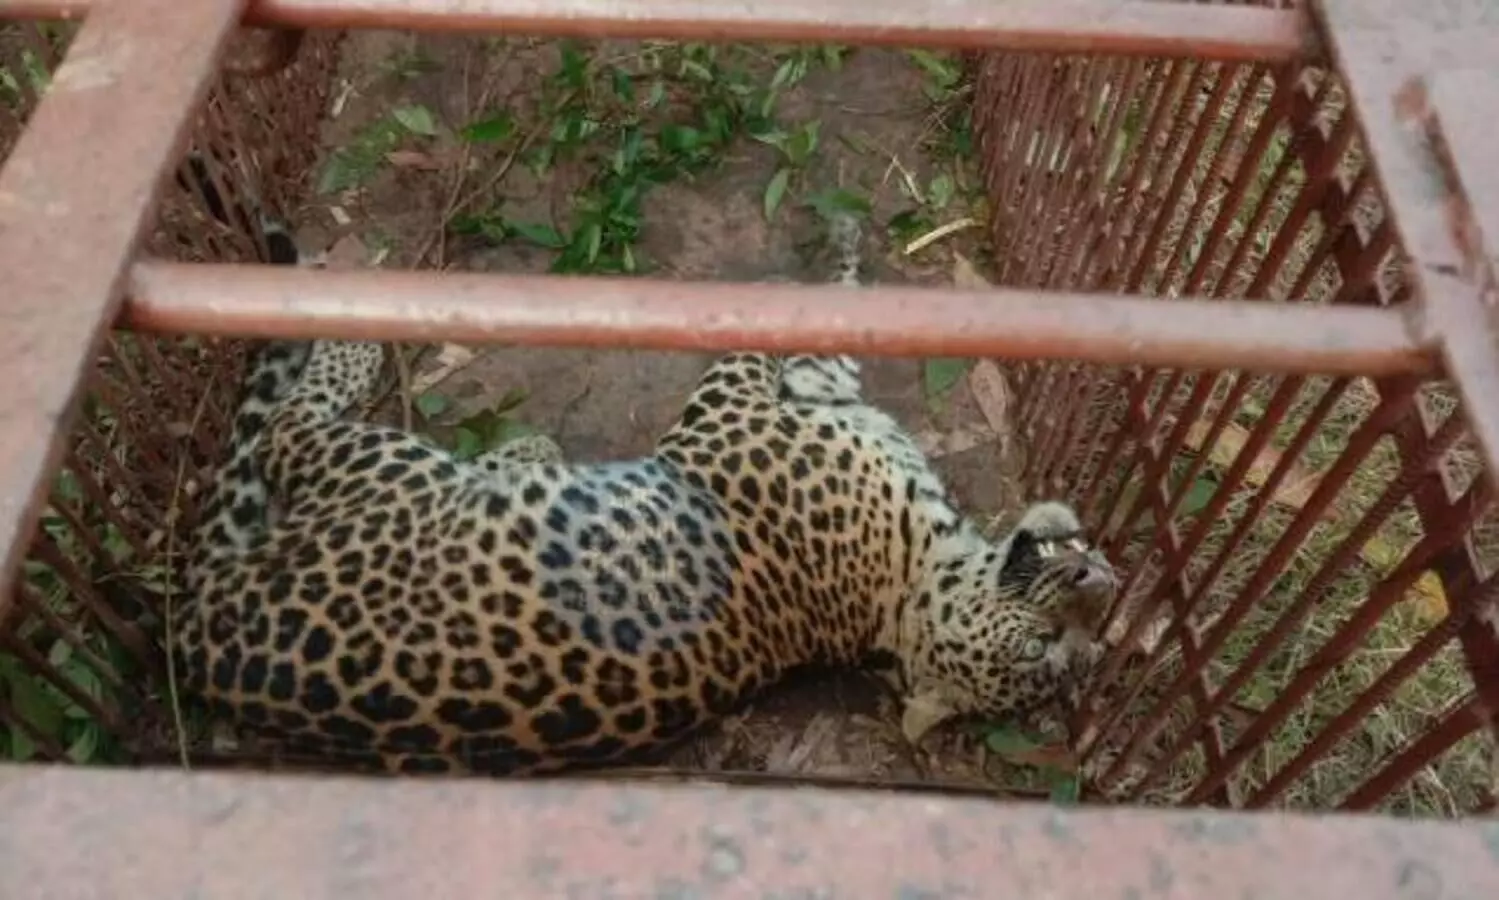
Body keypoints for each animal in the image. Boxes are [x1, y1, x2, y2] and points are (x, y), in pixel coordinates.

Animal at [173, 207, 1119, 776]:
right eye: (1046, 646)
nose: (1100, 583)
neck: (900, 592)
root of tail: (199, 633)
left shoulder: (751, 408)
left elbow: (795, 331)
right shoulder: (786, 400)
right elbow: (822, 327)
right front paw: (843, 245)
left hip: (390, 475)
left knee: (286, 429)